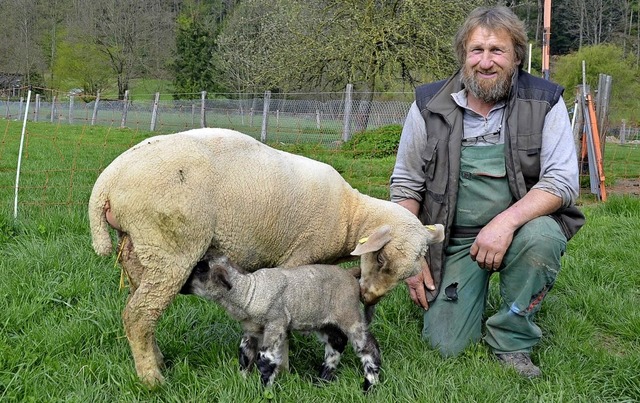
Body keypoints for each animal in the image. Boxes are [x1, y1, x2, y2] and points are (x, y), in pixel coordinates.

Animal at [180, 258, 380, 392]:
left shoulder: (276, 324)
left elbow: (265, 359)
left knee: (368, 347)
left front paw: (263, 390)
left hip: (349, 315)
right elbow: (245, 356)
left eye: (200, 269)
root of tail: (350, 274)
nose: (181, 284)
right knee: (336, 344)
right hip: (325, 322)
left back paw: (370, 385)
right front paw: (242, 383)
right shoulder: (252, 330)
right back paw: (322, 381)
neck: (249, 292)